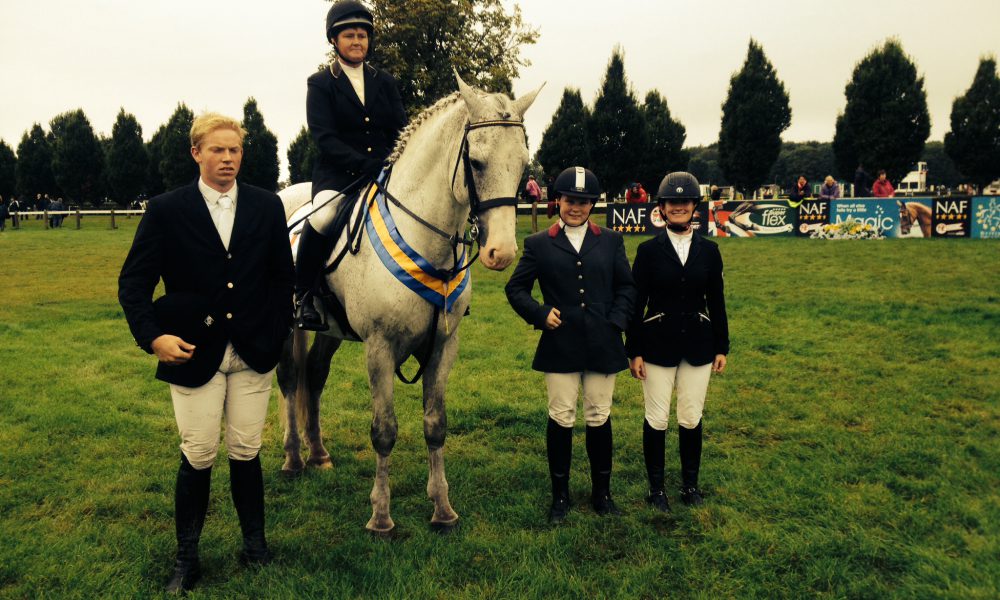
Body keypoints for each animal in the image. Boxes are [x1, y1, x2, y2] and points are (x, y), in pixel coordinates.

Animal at [276, 73, 541, 534]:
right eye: (476, 163)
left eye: (523, 164)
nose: (502, 253)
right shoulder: (379, 348)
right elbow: (384, 430)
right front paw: (381, 517)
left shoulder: (443, 346)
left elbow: (435, 425)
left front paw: (442, 509)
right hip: (287, 324)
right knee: (291, 378)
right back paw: (293, 459)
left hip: (330, 331)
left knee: (315, 375)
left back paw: (319, 454)